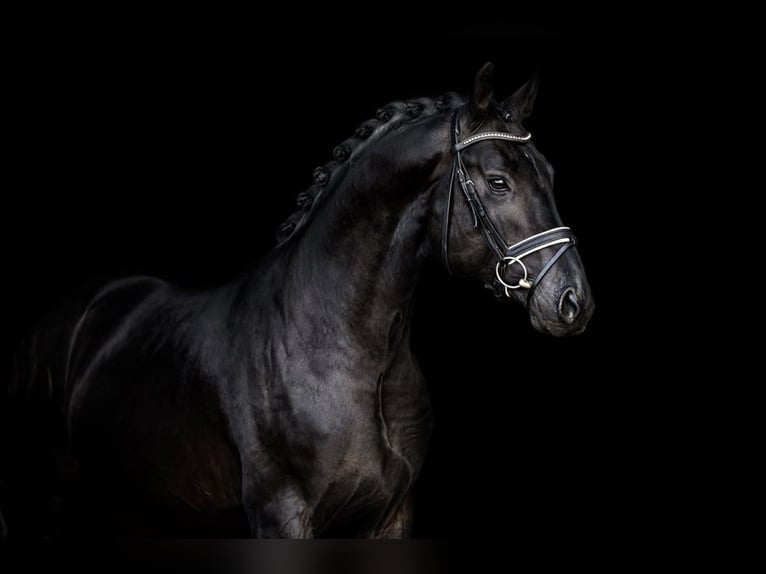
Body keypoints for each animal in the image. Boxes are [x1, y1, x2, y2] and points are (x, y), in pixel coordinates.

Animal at [7, 63, 592, 540]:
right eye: (498, 182)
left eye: (549, 172)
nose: (572, 302)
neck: (339, 348)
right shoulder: (281, 516)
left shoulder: (391, 516)